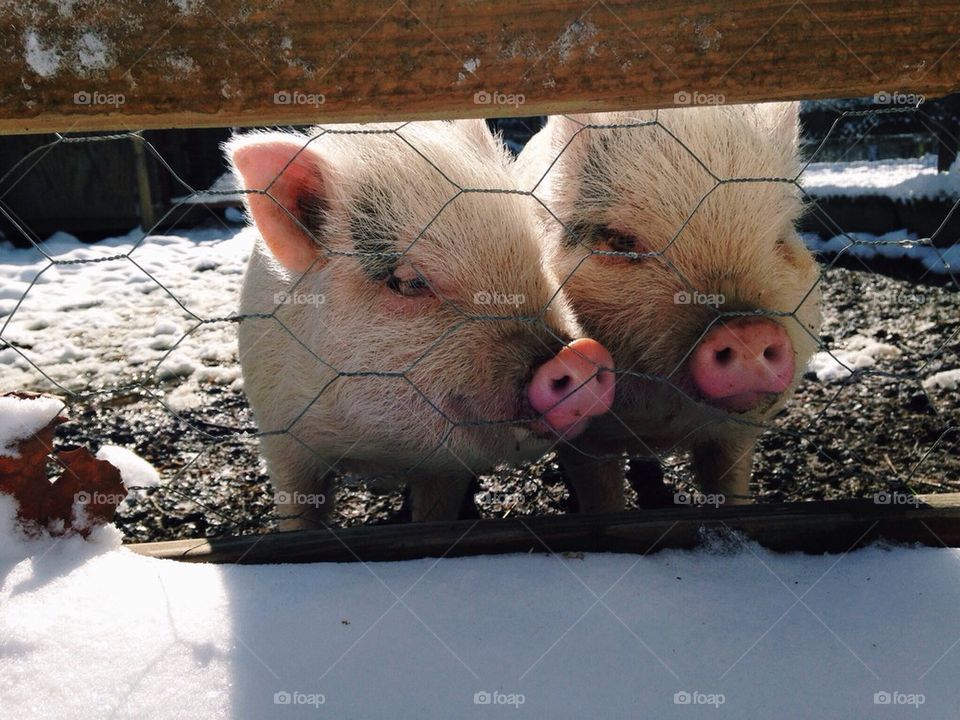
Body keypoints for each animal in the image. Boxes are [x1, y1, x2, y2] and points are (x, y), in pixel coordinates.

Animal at [225, 121, 615, 528]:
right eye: (409, 282)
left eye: (540, 257)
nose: (579, 355)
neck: (380, 452)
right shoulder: (280, 435)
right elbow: (300, 512)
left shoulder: (447, 468)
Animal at [512, 103, 821, 512]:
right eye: (622, 241)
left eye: (780, 239)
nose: (747, 331)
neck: (662, 423)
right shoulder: (584, 439)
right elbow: (601, 497)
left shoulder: (737, 431)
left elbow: (731, 486)